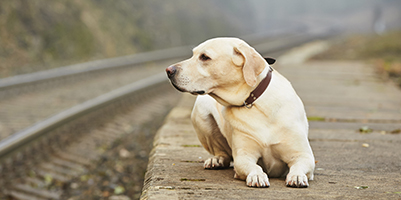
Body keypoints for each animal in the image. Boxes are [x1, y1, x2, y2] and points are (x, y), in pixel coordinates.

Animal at [164, 37, 314, 188]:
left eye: (204, 57)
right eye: (193, 54)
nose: (168, 70)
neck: (255, 102)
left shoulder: (304, 155)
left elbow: (299, 165)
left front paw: (297, 176)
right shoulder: (243, 156)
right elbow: (254, 166)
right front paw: (257, 175)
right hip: (201, 113)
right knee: (222, 152)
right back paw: (216, 160)